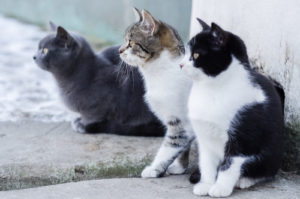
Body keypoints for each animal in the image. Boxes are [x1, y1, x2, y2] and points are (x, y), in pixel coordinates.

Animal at [33, 22, 165, 137]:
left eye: (45, 50)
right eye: (38, 48)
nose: (34, 56)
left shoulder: (103, 104)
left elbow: (93, 116)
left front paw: (83, 124)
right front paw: (79, 120)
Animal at [119, 8, 195, 177]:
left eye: (130, 43)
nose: (119, 51)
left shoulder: (181, 123)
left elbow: (170, 146)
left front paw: (154, 169)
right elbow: (183, 148)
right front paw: (180, 167)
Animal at [179, 19, 284, 197]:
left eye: (196, 55)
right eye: (186, 53)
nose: (180, 64)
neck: (212, 89)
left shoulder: (243, 137)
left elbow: (229, 165)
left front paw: (220, 188)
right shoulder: (204, 138)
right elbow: (206, 163)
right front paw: (206, 184)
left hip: (272, 152)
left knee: (266, 170)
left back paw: (245, 180)